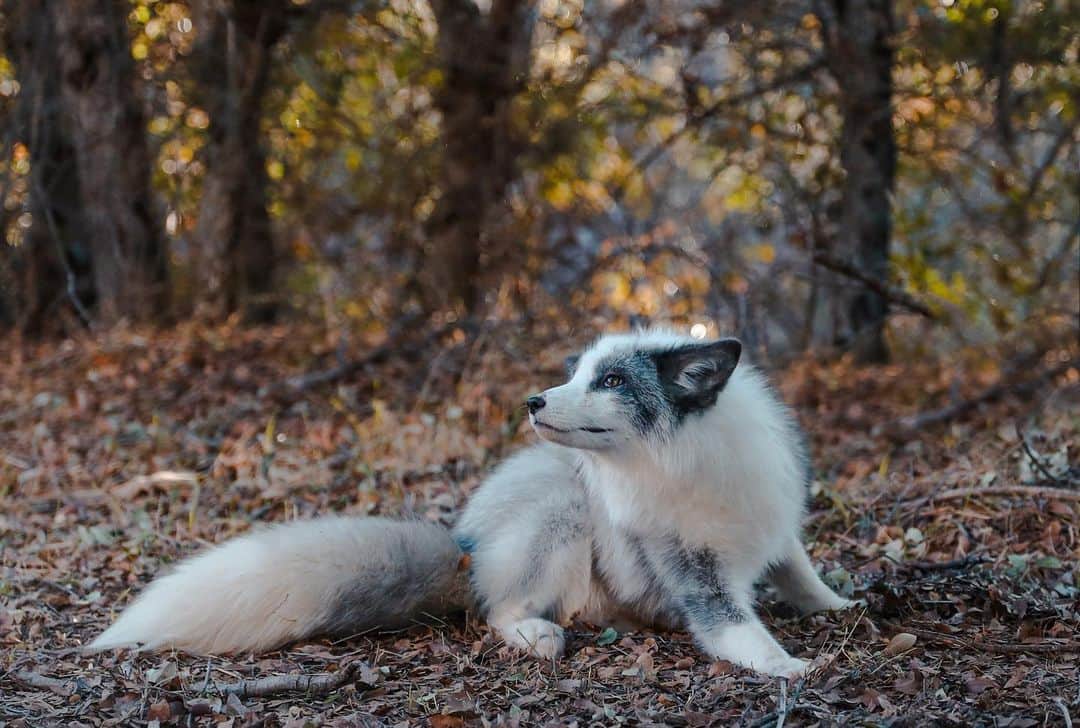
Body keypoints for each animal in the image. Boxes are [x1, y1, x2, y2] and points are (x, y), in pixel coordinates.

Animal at [89, 329, 852, 677]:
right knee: (498, 612)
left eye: (609, 381)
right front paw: (794, 668)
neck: (689, 460)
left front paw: (841, 607)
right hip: (560, 512)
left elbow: (801, 572)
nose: (533, 400)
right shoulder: (696, 577)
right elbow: (740, 633)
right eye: (577, 373)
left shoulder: (776, 529)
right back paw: (539, 634)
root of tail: (466, 546)